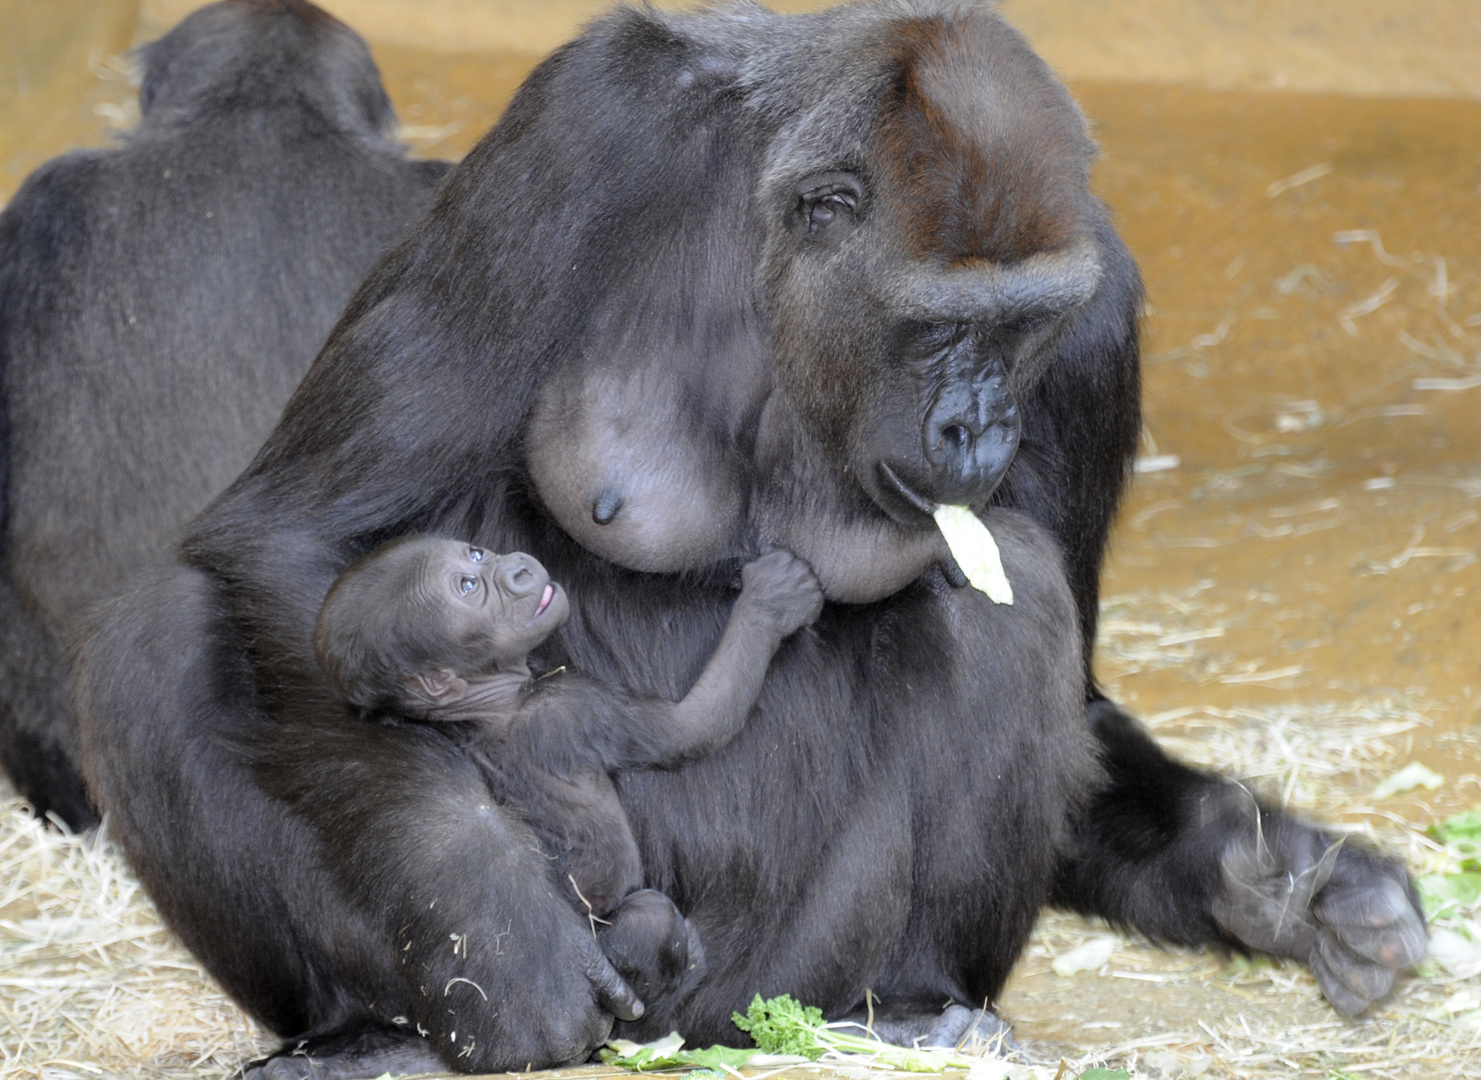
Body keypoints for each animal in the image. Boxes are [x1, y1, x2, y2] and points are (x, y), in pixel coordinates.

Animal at [315, 536, 823, 1001]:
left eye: (476, 554)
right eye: (468, 587)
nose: (518, 567)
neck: (479, 705)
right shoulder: (574, 707)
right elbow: (693, 727)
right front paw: (770, 602)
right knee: (651, 918)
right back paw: (685, 967)